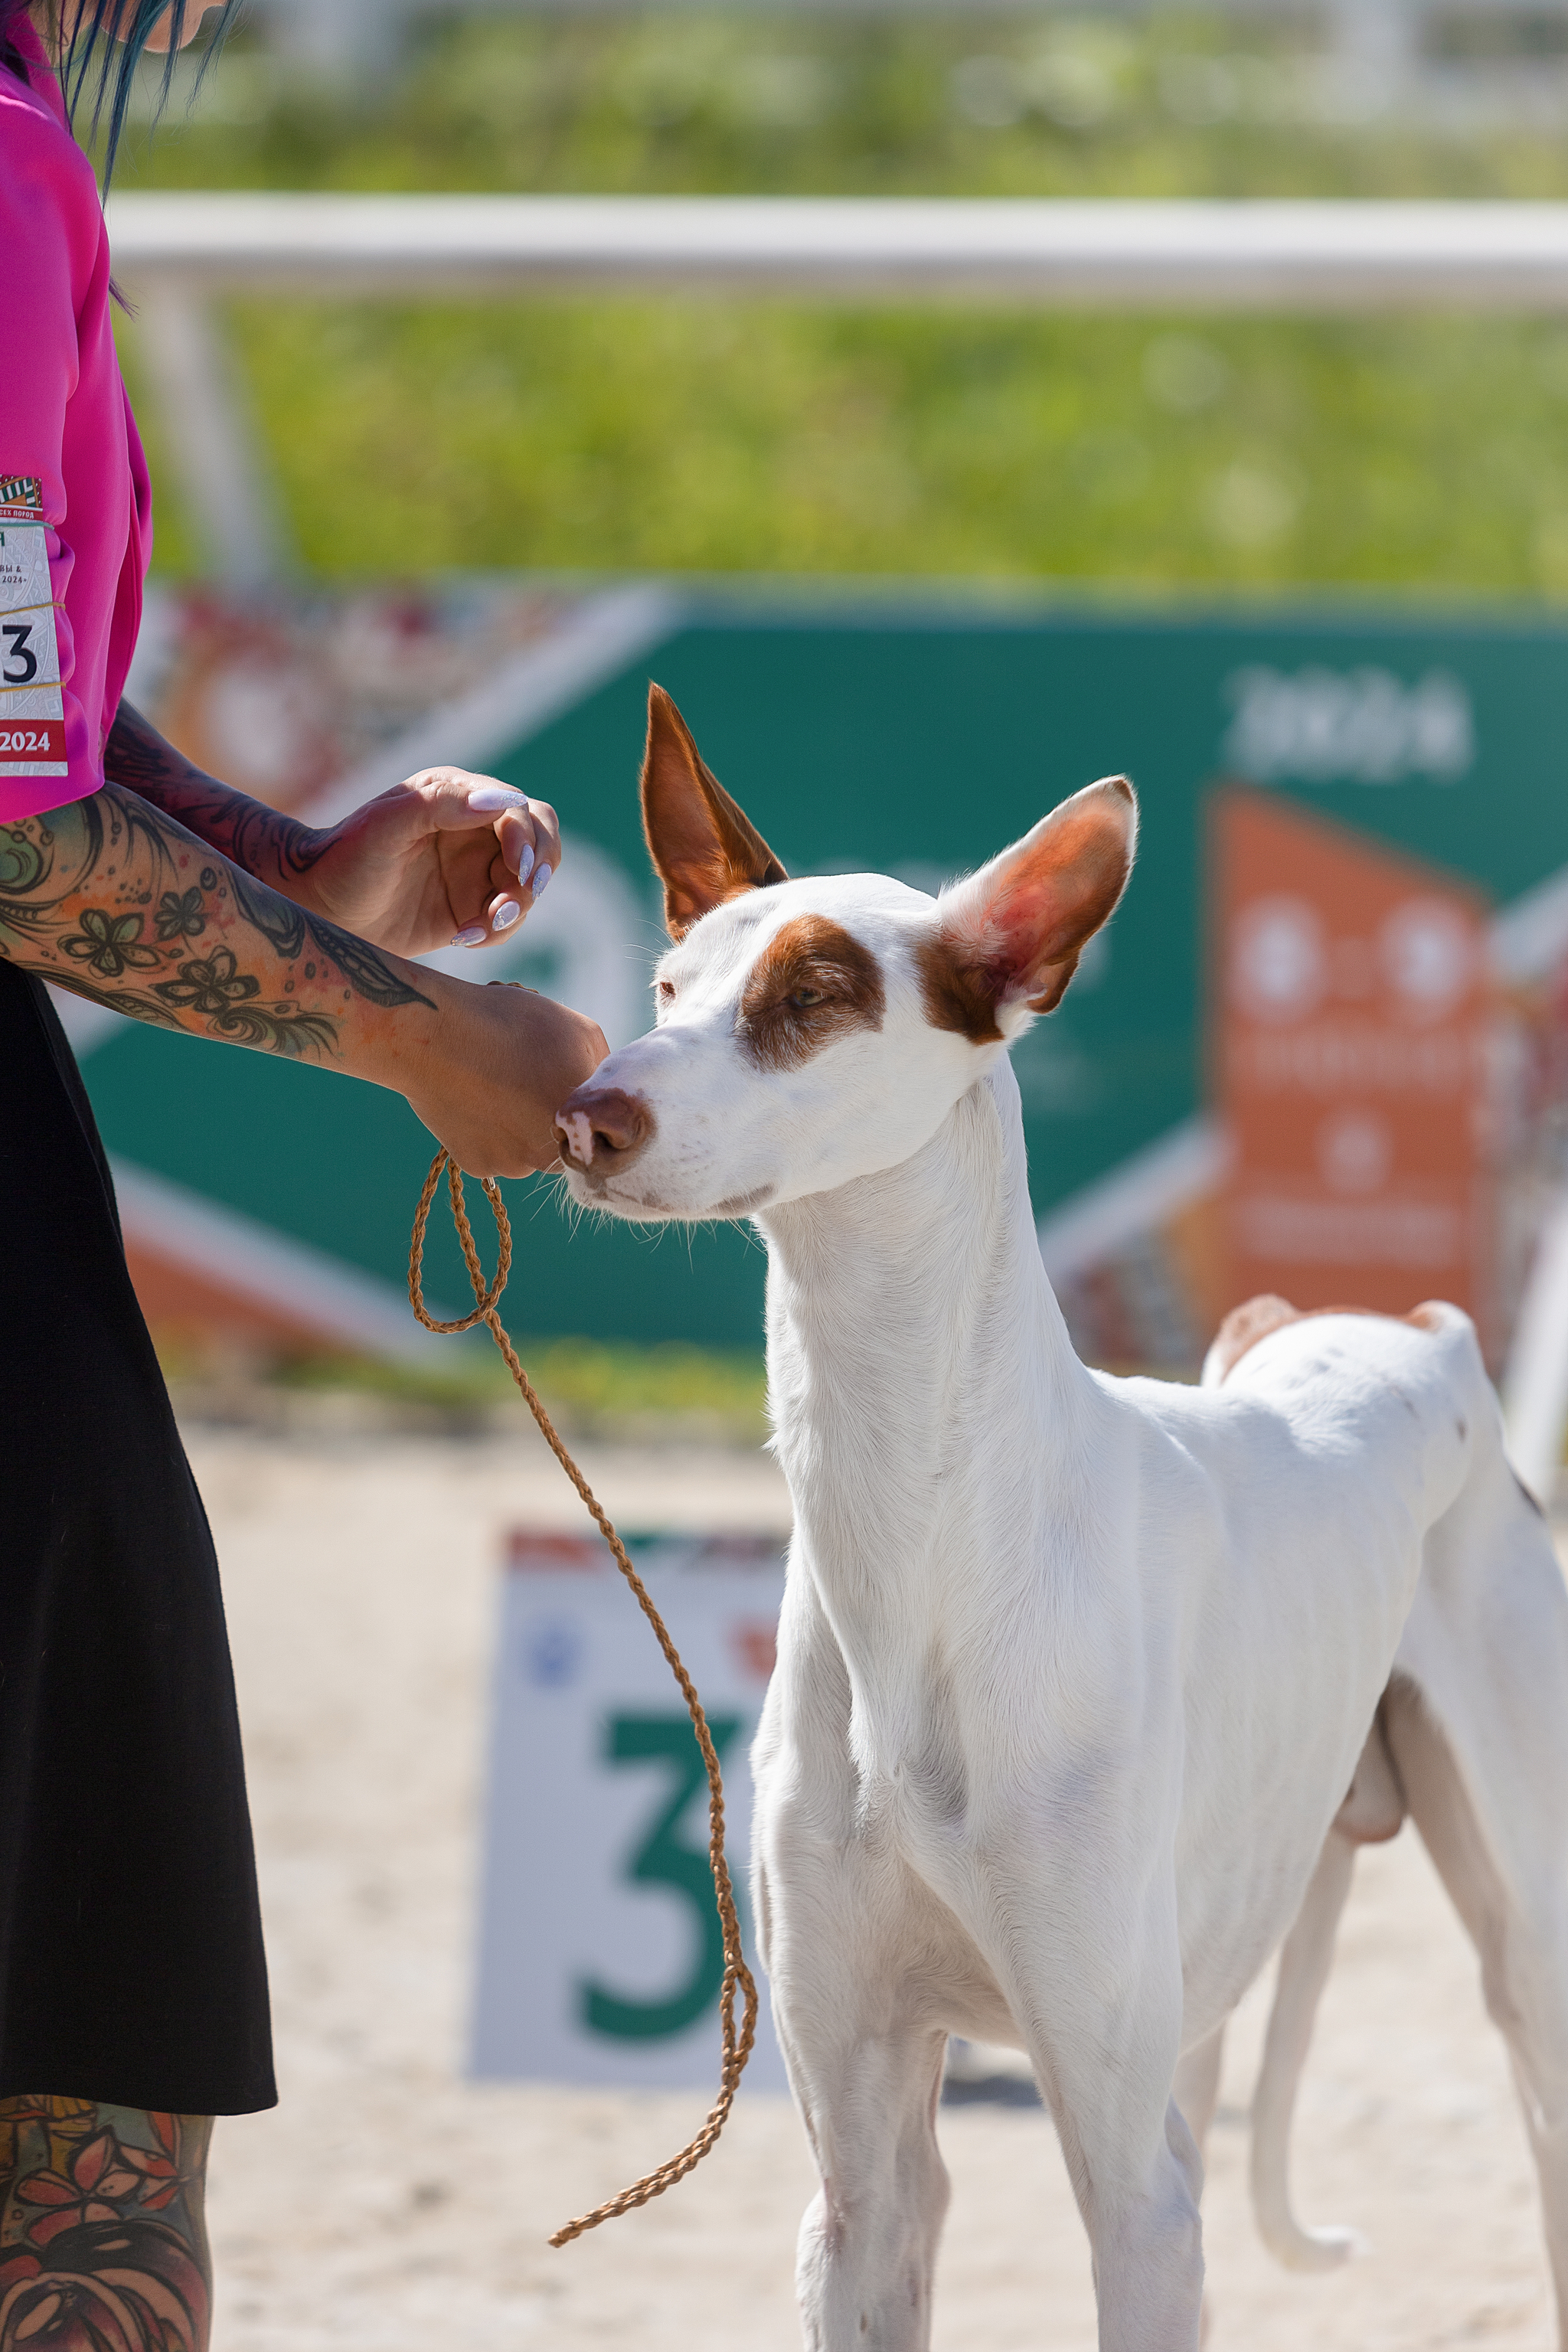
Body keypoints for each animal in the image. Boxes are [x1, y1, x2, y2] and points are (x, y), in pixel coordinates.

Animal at [552, 687, 1568, 2352]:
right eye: (665, 985)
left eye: (811, 995)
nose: (585, 1115)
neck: (928, 1551)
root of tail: (1399, 1322)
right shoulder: (864, 2184)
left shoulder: (1126, 2181)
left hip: (1521, 1972)